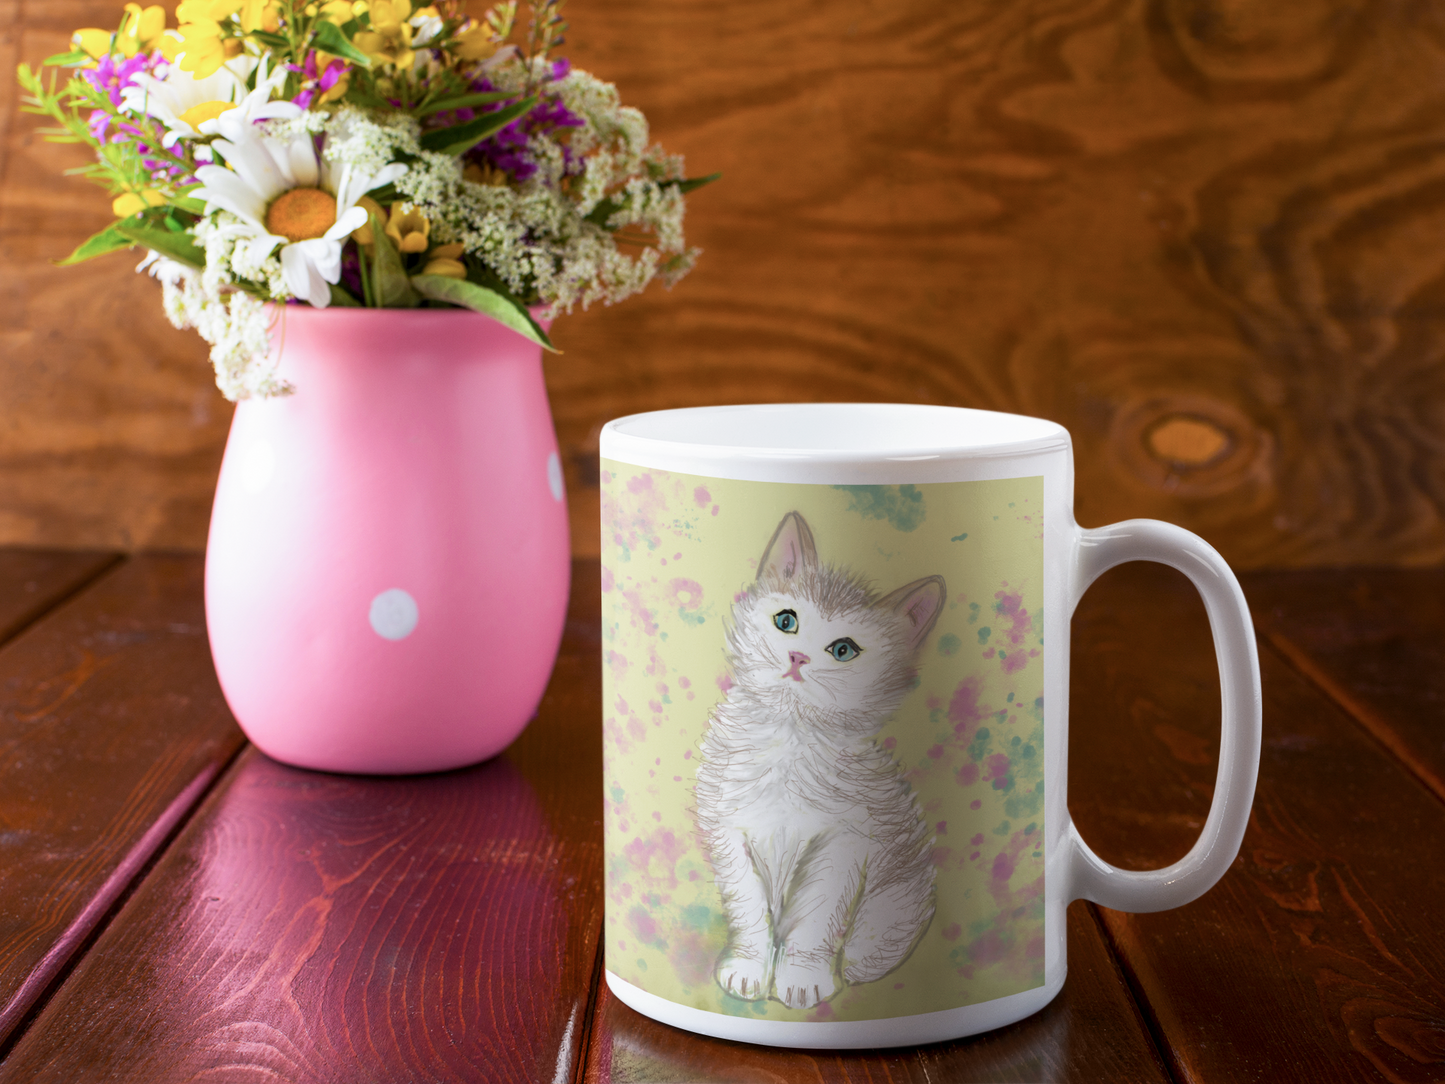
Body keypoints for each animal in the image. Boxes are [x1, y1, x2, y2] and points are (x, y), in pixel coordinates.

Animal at [693, 514, 942, 1017]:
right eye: (786, 621)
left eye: (843, 650)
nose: (798, 656)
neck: (789, 742)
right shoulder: (728, 831)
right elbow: (747, 906)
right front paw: (748, 968)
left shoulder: (842, 843)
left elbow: (814, 917)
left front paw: (802, 978)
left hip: (901, 879)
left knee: (880, 935)